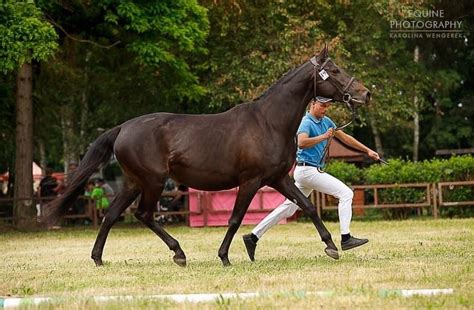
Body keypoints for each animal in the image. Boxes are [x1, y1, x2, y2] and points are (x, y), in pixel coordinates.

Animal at [44, 46, 370, 266]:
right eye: (335, 71)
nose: (365, 94)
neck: (269, 122)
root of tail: (123, 127)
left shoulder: (278, 179)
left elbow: (308, 206)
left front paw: (332, 246)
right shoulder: (250, 181)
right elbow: (236, 218)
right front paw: (224, 256)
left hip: (134, 182)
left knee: (112, 214)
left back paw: (99, 258)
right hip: (153, 182)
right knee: (143, 214)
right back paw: (178, 253)